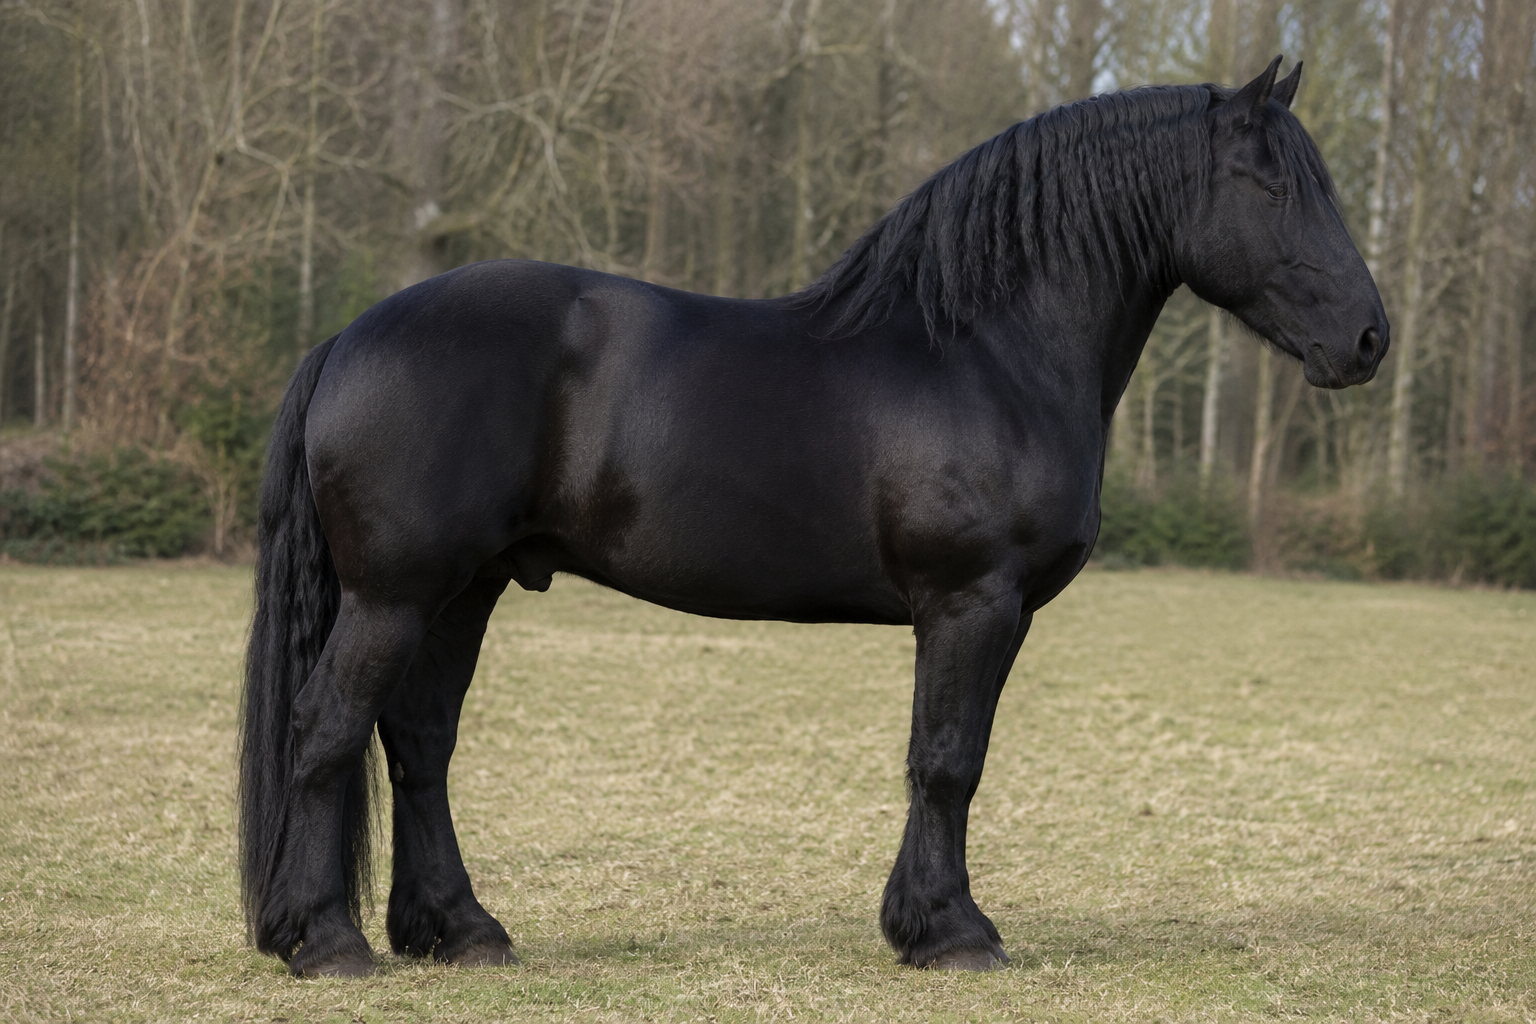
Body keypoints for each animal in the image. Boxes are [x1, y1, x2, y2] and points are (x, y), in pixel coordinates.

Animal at [238, 57, 1388, 977]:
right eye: (1274, 183)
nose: (1370, 338)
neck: (989, 351)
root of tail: (348, 338)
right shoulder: (973, 602)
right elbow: (948, 761)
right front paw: (950, 932)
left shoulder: (983, 611)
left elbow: (945, 759)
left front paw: (925, 924)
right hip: (395, 594)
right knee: (328, 729)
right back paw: (328, 942)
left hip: (463, 590)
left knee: (418, 742)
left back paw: (460, 930)